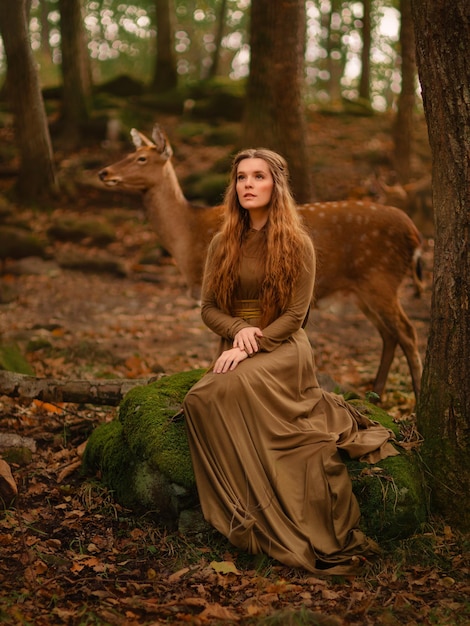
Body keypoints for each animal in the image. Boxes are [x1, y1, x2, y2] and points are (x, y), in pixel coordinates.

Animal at [97, 123, 424, 398]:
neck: (188, 240)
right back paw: (376, 394)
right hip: (362, 290)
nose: (103, 173)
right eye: (130, 153)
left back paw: (417, 399)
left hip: (380, 277)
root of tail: (415, 234)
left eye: (141, 158)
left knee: (407, 332)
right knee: (389, 334)